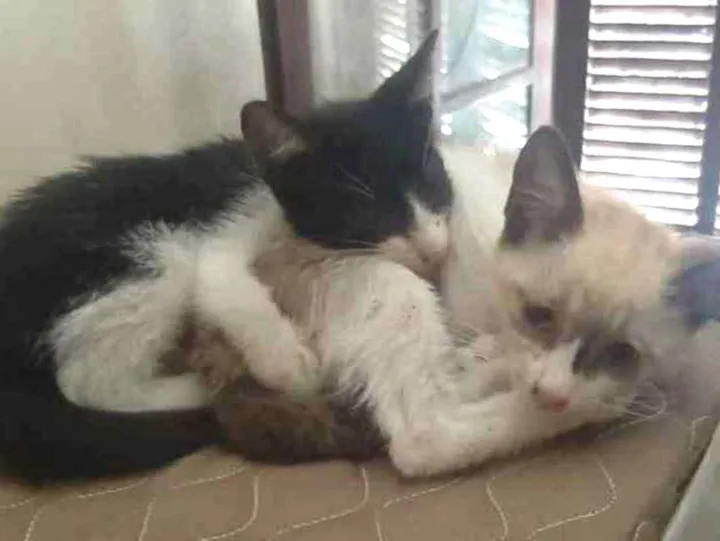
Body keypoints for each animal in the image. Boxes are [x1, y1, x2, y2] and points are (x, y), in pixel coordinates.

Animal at [0, 32, 453, 482]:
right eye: (366, 211)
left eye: (432, 183)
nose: (433, 248)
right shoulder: (228, 223)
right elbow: (220, 278)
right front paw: (290, 363)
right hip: (144, 254)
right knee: (87, 381)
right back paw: (196, 388)